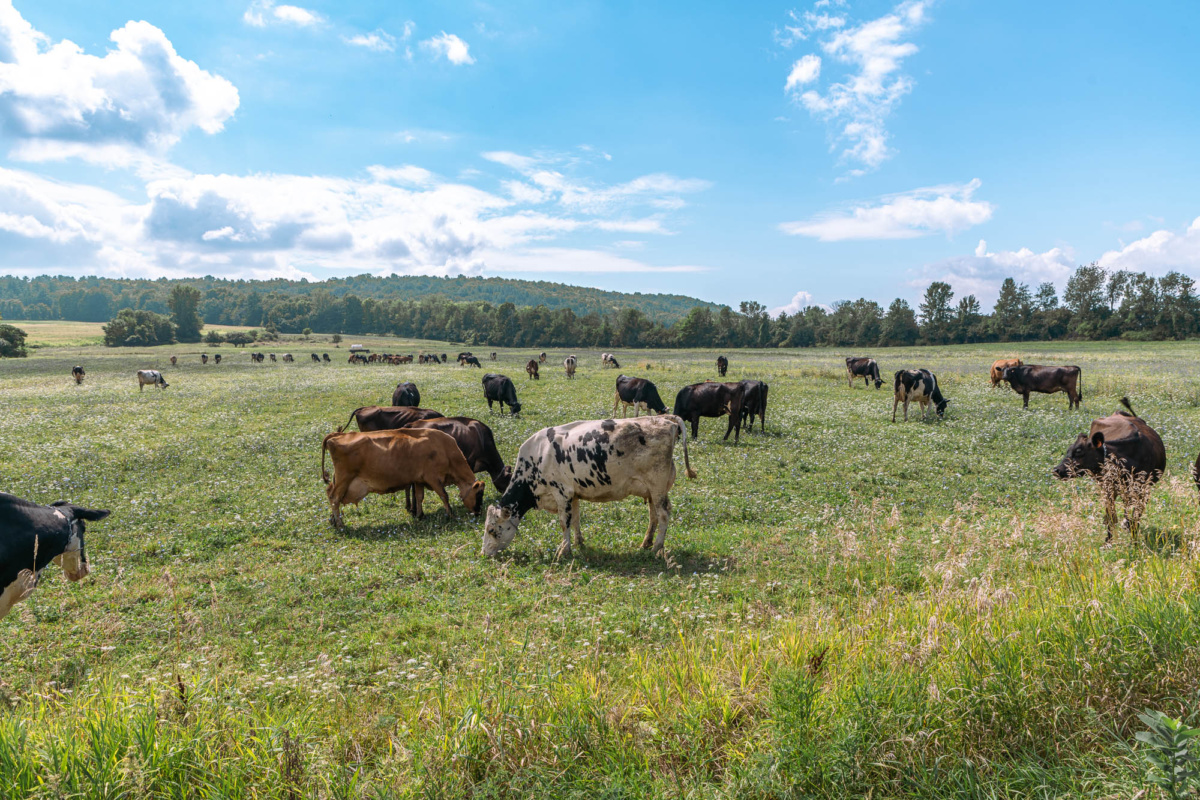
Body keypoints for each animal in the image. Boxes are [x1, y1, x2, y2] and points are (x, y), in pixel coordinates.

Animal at [321, 428, 485, 526]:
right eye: (479, 495)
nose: (478, 513)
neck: (444, 449)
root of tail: (338, 434)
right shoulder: (433, 478)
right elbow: (444, 496)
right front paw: (450, 514)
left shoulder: (419, 480)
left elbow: (419, 497)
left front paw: (420, 515)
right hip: (344, 478)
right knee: (334, 498)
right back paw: (340, 524)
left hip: (338, 479)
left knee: (330, 493)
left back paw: (333, 520)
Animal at [481, 416, 696, 559]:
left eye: (491, 530)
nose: (484, 553)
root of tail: (665, 419)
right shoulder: (573, 494)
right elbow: (575, 519)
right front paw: (578, 542)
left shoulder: (561, 493)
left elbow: (564, 522)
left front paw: (564, 550)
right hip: (652, 490)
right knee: (653, 516)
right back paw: (646, 543)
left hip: (657, 486)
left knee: (663, 515)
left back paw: (656, 548)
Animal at [1053, 397, 1166, 540]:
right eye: (1068, 450)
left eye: (1078, 451)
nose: (1056, 470)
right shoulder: (1109, 488)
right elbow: (1112, 517)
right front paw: (1108, 541)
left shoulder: (1144, 489)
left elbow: (1135, 518)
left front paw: (1133, 538)